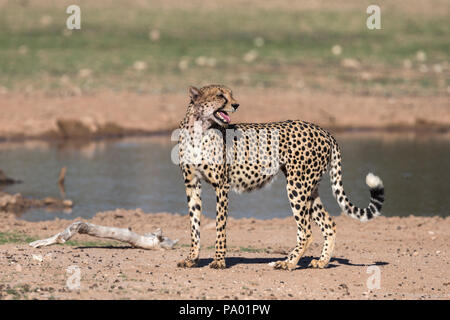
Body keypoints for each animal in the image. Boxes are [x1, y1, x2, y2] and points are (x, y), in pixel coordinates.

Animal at [176, 84, 384, 270]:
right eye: (220, 95)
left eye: (231, 94)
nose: (236, 104)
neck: (199, 129)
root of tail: (322, 130)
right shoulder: (191, 184)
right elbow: (194, 224)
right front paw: (192, 259)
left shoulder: (222, 185)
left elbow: (220, 226)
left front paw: (219, 261)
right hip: (309, 188)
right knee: (329, 224)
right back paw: (321, 262)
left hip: (297, 186)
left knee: (306, 231)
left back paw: (288, 263)